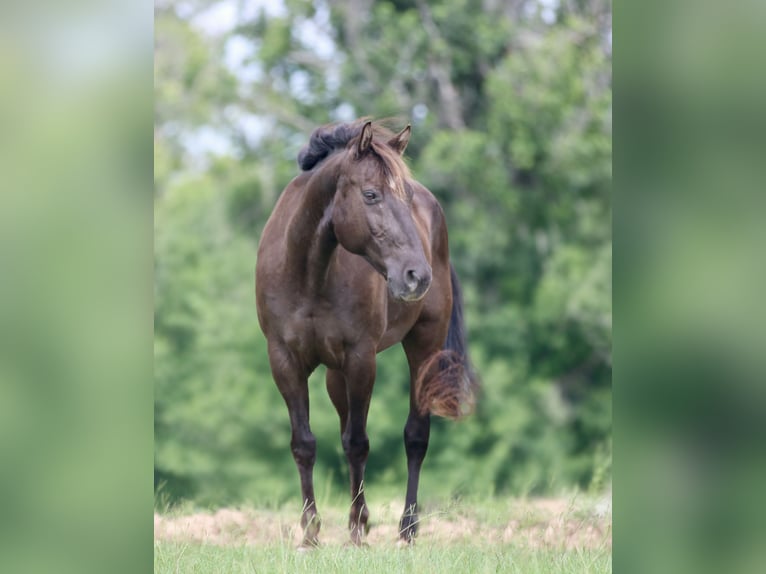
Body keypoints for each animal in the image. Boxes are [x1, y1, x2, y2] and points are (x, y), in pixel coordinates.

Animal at [255, 119, 478, 547]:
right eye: (371, 194)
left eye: (405, 198)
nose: (416, 274)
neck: (309, 273)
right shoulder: (284, 361)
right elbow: (304, 444)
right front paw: (311, 534)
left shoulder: (361, 358)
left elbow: (358, 444)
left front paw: (358, 529)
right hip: (334, 374)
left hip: (422, 345)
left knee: (415, 436)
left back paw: (407, 529)